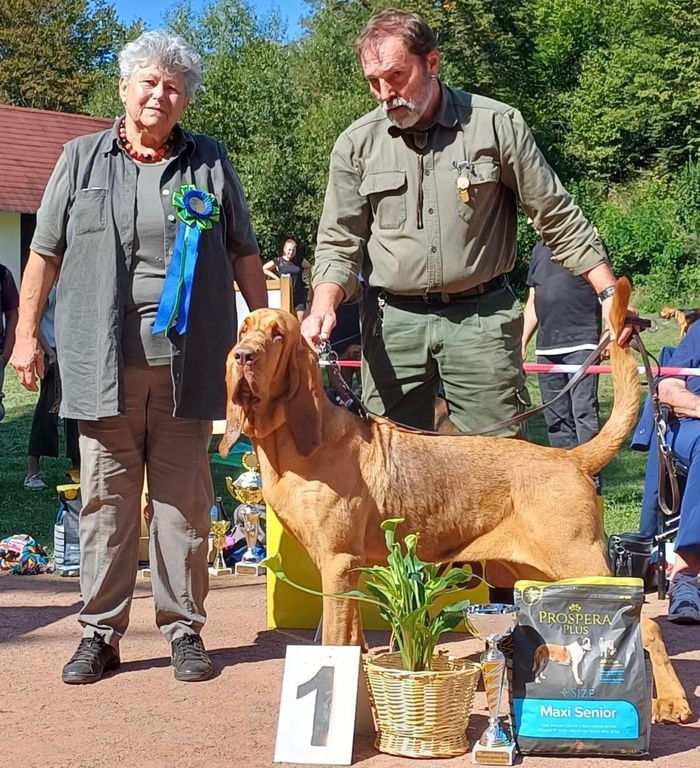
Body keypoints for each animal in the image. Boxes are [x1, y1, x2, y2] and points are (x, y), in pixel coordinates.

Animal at [219, 278, 690, 724]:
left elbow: (336, 640)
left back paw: (671, 701)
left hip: (580, 563)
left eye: (278, 334)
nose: (243, 355)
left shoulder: (336, 564)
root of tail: (571, 456)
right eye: (243, 328)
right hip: (534, 572)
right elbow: (352, 639)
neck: (298, 444)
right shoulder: (348, 572)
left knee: (648, 625)